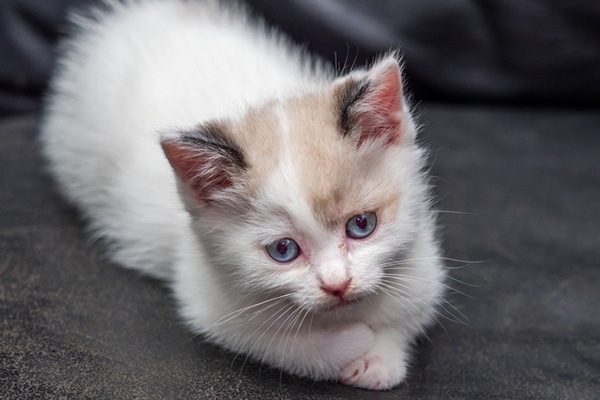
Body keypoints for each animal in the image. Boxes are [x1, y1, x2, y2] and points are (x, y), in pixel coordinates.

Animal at [39, 0, 446, 390]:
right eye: (283, 250)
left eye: (362, 225)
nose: (337, 285)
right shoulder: (208, 301)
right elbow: (278, 344)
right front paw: (350, 342)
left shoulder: (423, 266)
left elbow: (408, 314)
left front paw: (380, 360)